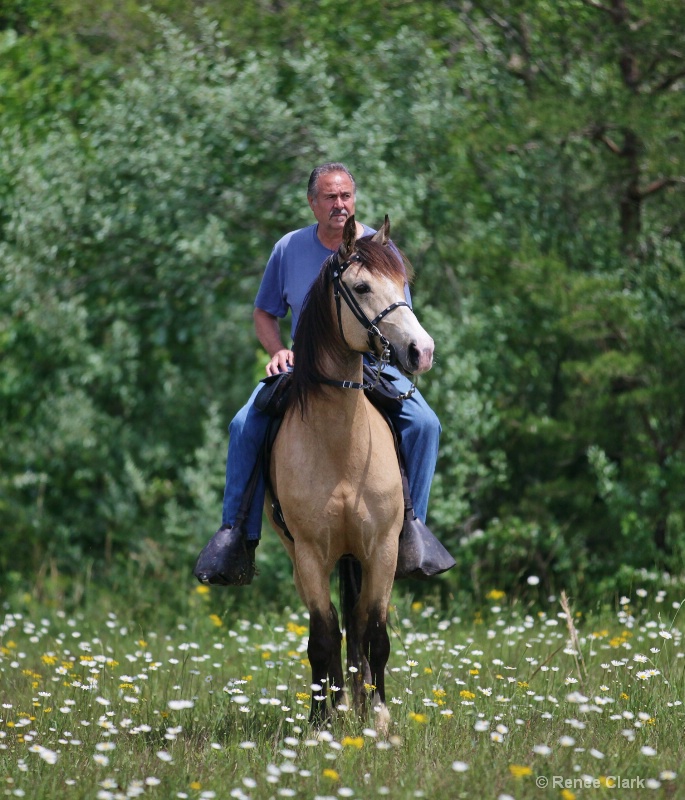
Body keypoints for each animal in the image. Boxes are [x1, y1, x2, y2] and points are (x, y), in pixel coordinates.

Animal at [264, 214, 430, 732]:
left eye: (402, 282)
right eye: (361, 286)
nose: (421, 351)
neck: (341, 450)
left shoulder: (381, 550)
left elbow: (373, 631)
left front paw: (378, 717)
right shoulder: (310, 554)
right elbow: (322, 634)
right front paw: (321, 721)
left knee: (356, 623)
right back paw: (337, 704)